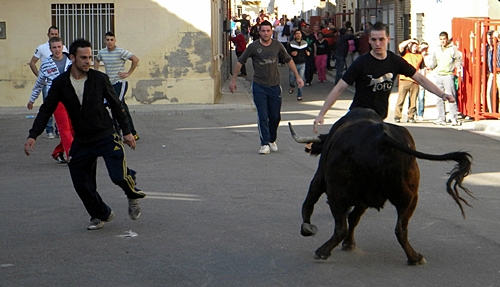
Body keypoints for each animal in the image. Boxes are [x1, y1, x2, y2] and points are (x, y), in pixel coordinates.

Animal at [290, 108, 472, 266]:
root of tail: (381, 139)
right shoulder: (364, 200)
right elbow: (354, 218)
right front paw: (349, 244)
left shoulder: (322, 176)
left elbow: (310, 201)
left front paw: (307, 229)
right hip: (410, 196)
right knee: (400, 229)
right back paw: (415, 257)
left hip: (336, 193)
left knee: (340, 227)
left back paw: (322, 252)